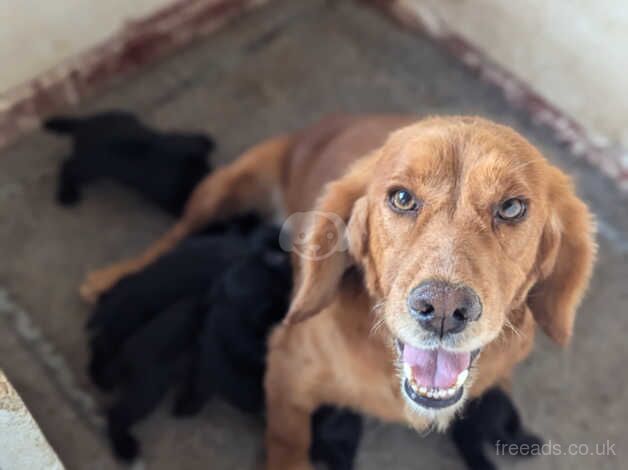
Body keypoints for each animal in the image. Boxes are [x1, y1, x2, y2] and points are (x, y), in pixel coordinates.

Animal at [45, 110, 215, 215]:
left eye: (208, 168)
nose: (210, 173)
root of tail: (83, 124)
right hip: (91, 170)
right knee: (68, 166)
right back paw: (66, 194)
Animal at [81, 114, 596, 470]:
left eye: (512, 208)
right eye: (402, 198)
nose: (443, 309)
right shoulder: (286, 374)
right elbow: (289, 445)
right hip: (228, 184)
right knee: (175, 234)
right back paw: (107, 277)